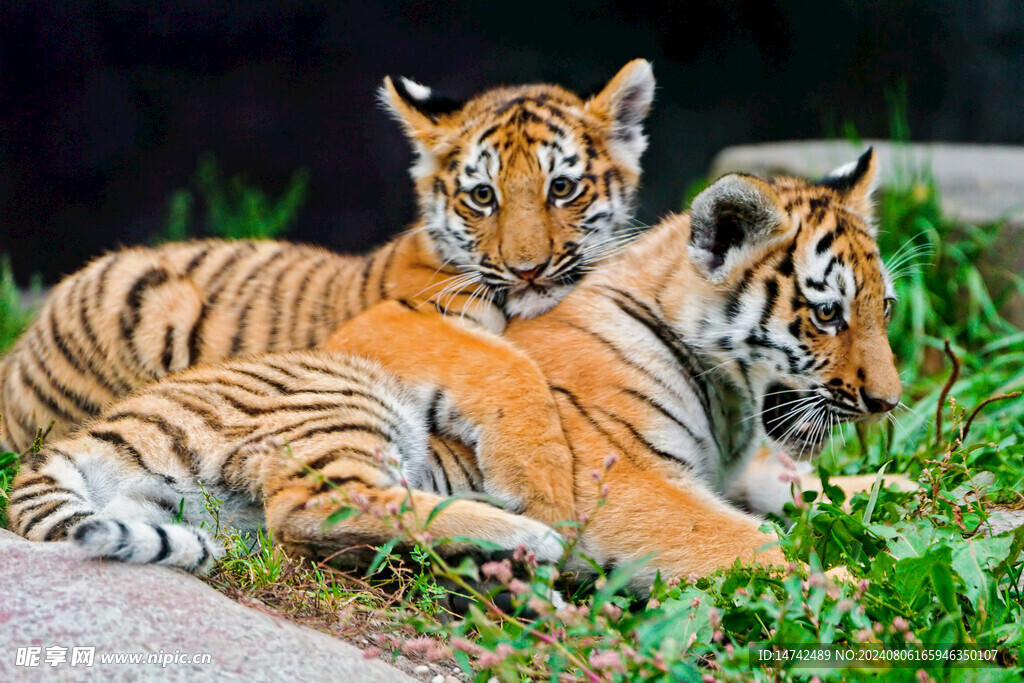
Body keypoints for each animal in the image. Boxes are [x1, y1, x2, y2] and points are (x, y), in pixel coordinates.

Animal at [0, 58, 656, 494]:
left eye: (561, 188)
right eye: (482, 196)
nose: (528, 270)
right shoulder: (382, 329)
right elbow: (506, 365)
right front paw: (541, 483)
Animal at [9, 150, 900, 593]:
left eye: (885, 308)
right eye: (827, 314)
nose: (888, 402)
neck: (731, 395)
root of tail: (93, 434)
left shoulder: (732, 464)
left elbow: (794, 482)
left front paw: (897, 488)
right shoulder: (626, 478)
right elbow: (732, 534)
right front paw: (849, 590)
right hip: (344, 399)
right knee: (318, 507)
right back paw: (526, 539)